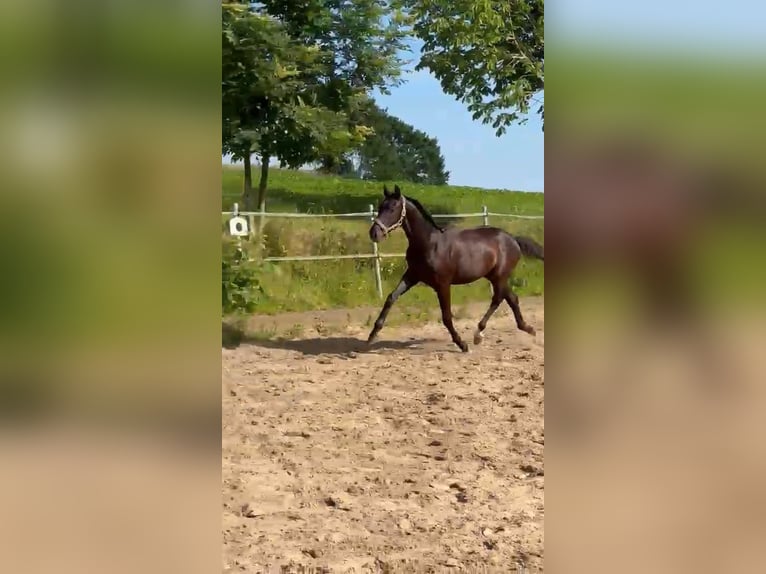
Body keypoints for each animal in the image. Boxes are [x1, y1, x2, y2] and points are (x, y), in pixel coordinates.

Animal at [367, 184, 544, 352]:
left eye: (392, 208)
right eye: (380, 207)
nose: (374, 233)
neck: (429, 244)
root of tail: (513, 239)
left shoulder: (443, 284)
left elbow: (446, 316)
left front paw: (462, 344)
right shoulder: (412, 276)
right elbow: (391, 297)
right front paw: (372, 335)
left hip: (499, 276)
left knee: (498, 298)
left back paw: (478, 334)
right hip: (494, 276)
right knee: (511, 297)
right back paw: (527, 328)